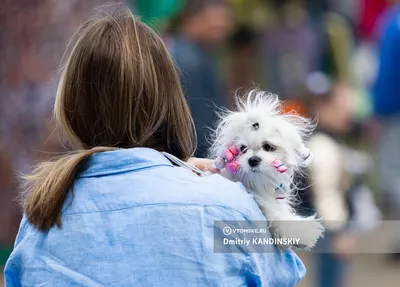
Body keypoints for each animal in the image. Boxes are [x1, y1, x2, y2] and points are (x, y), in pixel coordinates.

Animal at [209, 90, 324, 250]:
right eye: (243, 149)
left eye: (269, 146)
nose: (253, 160)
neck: (258, 185)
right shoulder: (262, 202)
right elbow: (274, 215)